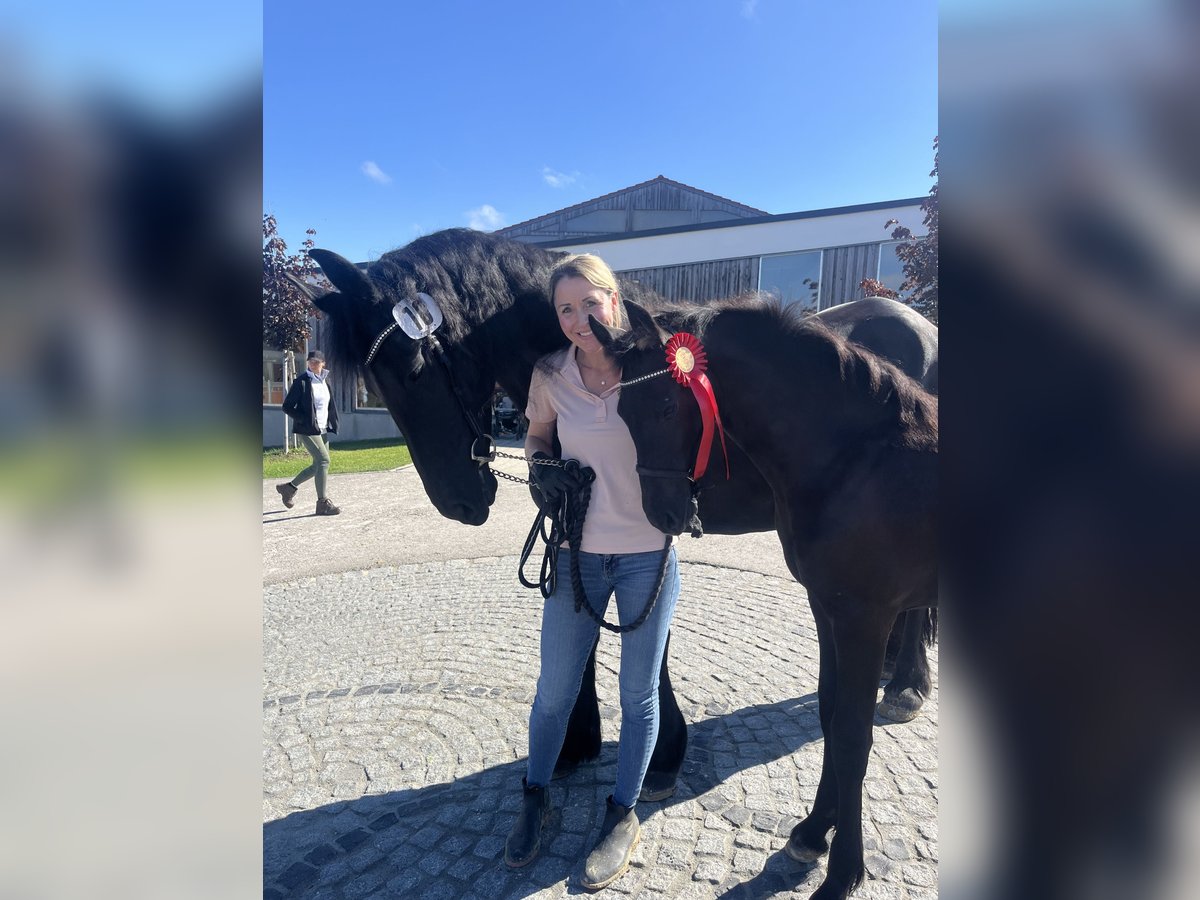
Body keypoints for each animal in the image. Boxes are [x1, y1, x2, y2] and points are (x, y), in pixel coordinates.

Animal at [295, 229, 937, 802]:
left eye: (414, 368)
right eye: (374, 382)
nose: (458, 502)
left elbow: (648, 633)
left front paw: (659, 752)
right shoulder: (575, 509)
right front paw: (575, 742)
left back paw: (907, 685)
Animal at [590, 297, 937, 899]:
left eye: (665, 406)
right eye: (623, 414)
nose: (662, 514)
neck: (854, 460)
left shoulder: (864, 620)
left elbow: (852, 736)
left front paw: (842, 873)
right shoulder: (826, 609)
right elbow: (829, 715)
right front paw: (813, 832)